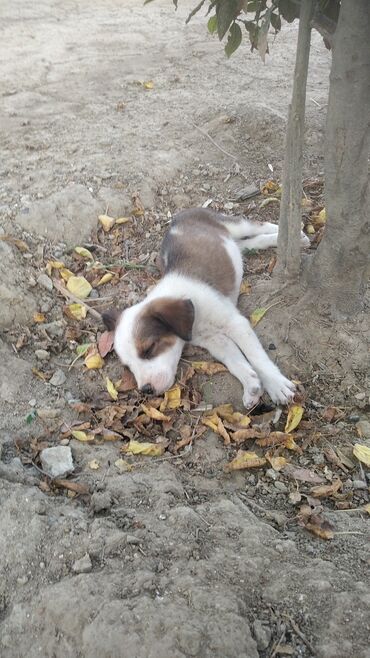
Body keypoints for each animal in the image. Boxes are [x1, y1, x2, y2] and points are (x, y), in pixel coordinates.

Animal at [102, 209, 308, 404]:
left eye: (149, 349)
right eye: (127, 366)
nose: (146, 390)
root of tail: (178, 217)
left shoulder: (236, 324)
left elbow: (257, 358)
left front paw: (276, 385)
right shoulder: (214, 340)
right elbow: (235, 361)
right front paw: (251, 385)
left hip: (234, 225)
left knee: (259, 225)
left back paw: (295, 235)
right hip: (231, 243)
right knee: (251, 243)